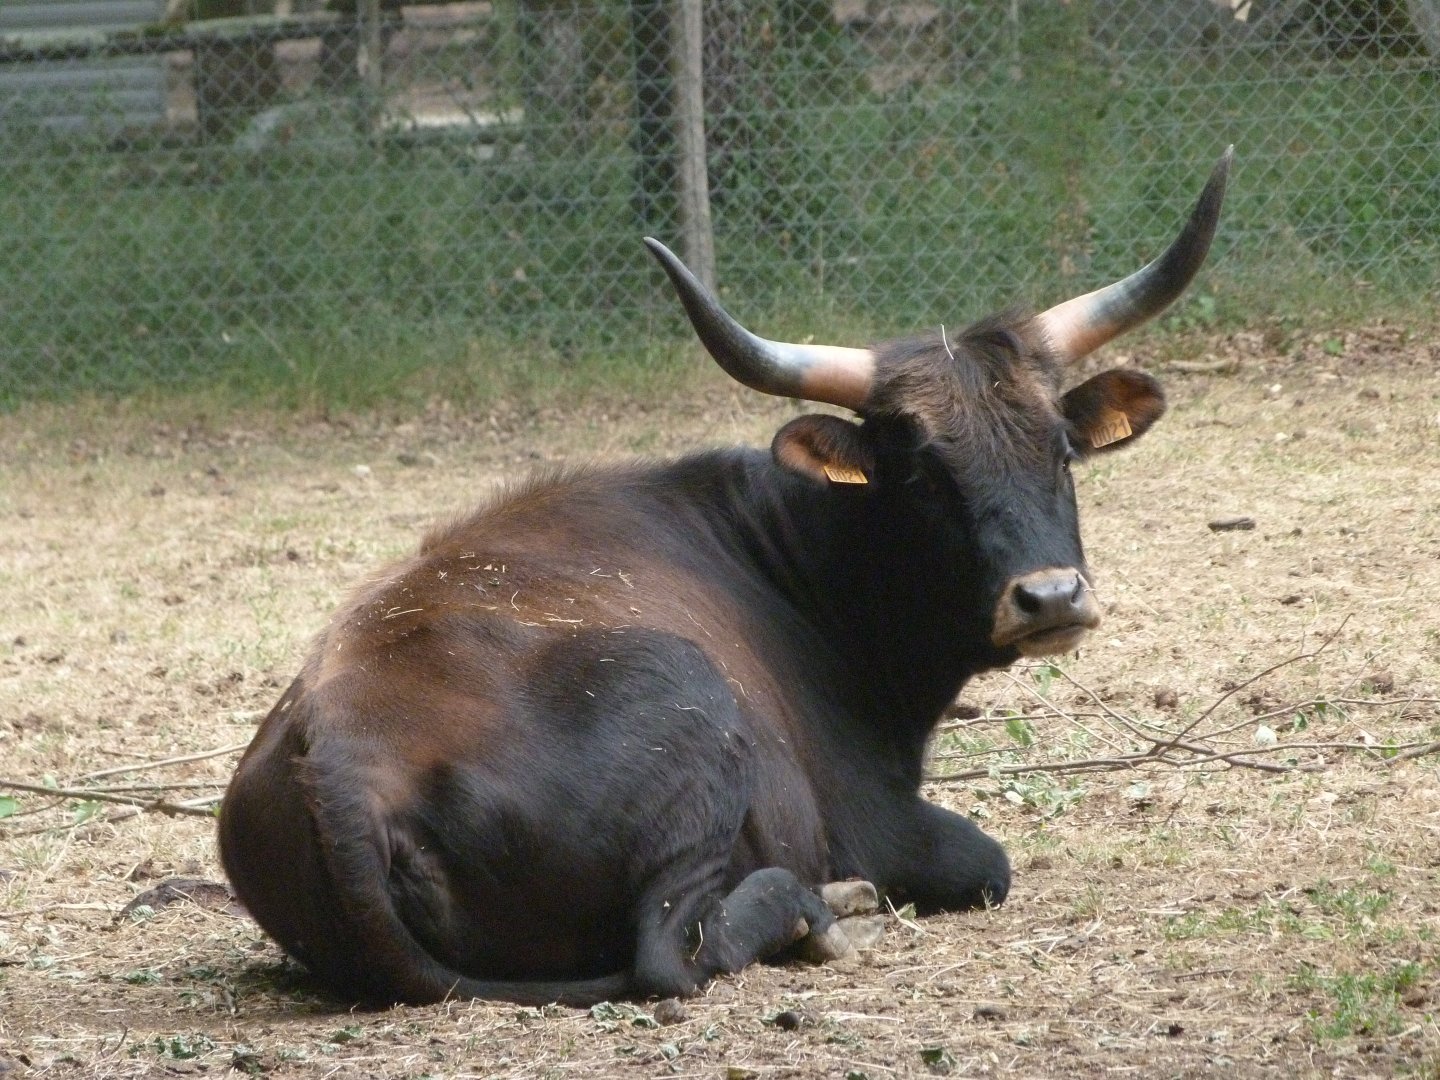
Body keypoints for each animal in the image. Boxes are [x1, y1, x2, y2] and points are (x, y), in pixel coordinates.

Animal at [219, 149, 1231, 1008]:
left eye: (1060, 450)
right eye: (923, 474)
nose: (1049, 596)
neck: (792, 558)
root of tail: (339, 765)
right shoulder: (881, 822)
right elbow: (986, 862)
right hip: (691, 708)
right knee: (673, 955)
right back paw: (816, 909)